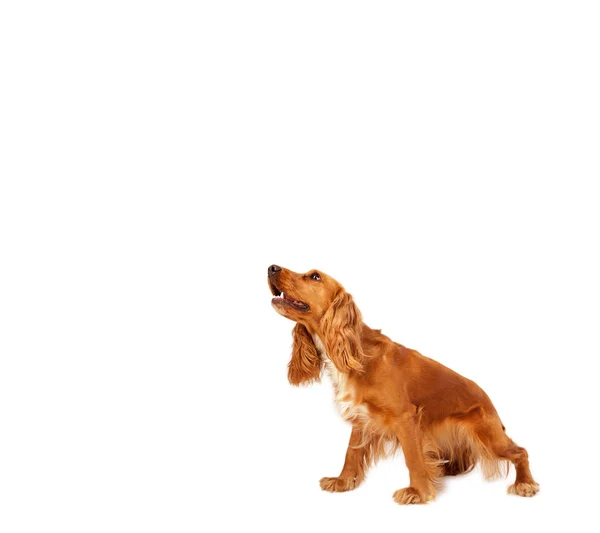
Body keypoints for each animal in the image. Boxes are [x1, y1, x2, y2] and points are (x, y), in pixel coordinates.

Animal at [268, 264, 540, 504]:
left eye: (315, 276)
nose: (271, 267)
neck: (357, 353)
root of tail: (490, 402)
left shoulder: (405, 418)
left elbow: (413, 459)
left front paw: (418, 492)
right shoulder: (362, 418)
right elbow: (351, 453)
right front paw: (343, 482)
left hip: (487, 434)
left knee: (521, 451)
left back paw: (525, 483)